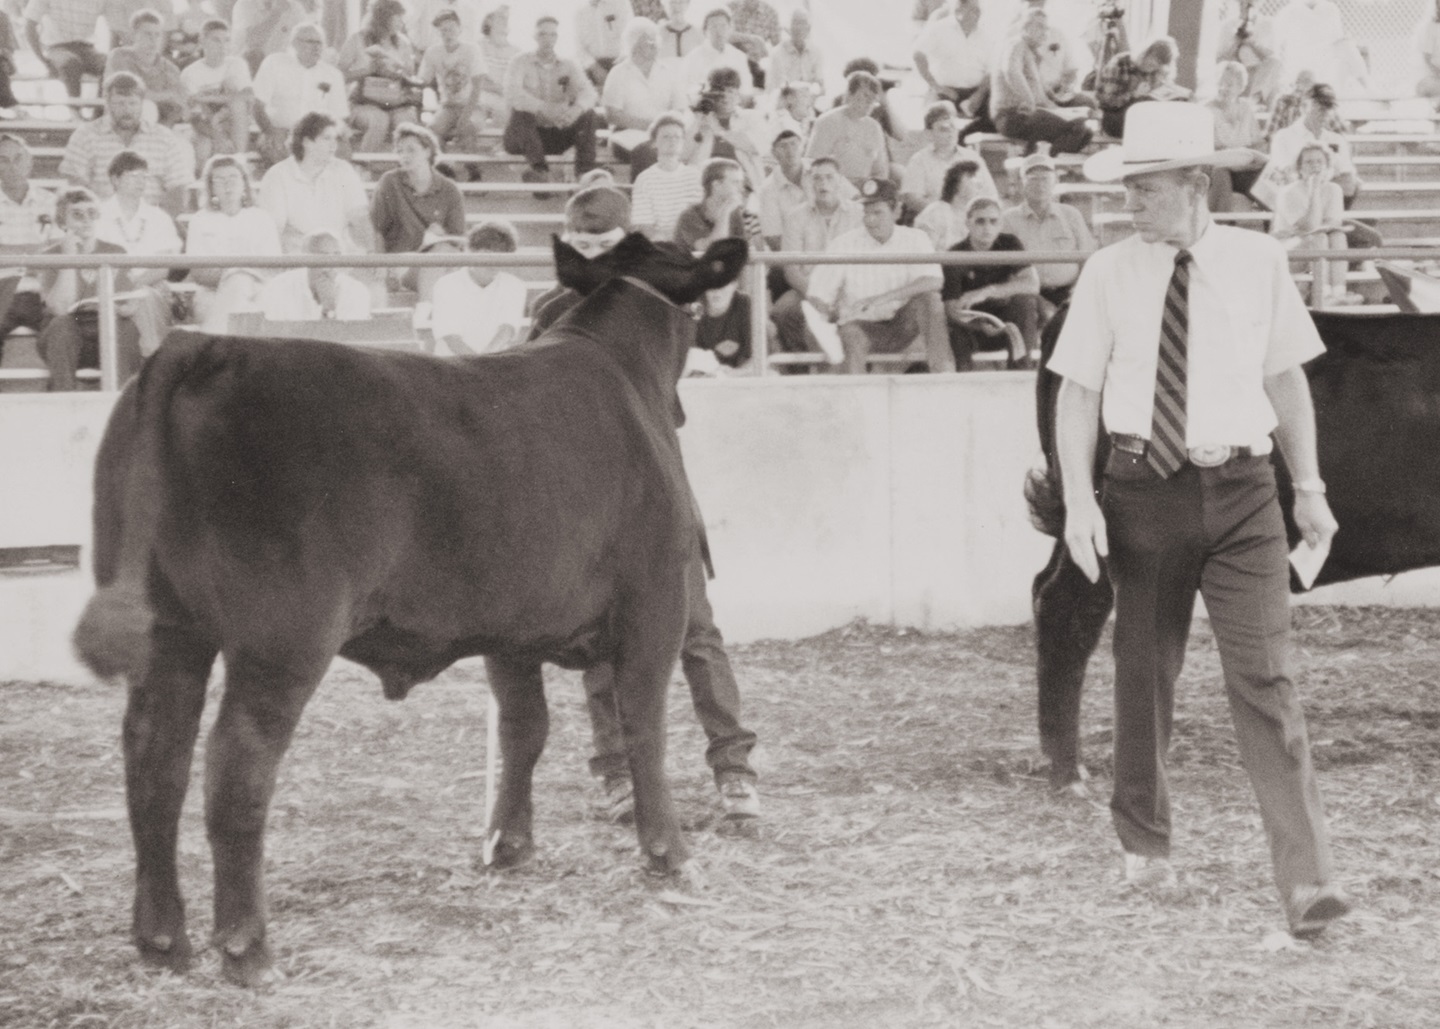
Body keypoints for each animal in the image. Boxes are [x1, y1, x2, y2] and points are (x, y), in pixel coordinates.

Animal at [71, 232, 749, 986]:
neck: (626, 374)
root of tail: (203, 345)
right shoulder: (656, 598)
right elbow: (644, 728)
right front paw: (669, 854)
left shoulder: (511, 623)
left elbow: (524, 729)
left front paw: (507, 844)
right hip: (283, 637)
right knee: (235, 766)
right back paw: (248, 948)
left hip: (170, 630)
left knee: (154, 758)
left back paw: (162, 939)